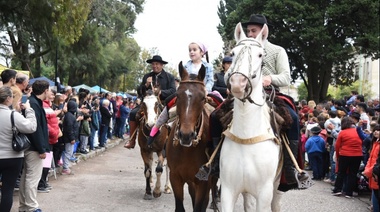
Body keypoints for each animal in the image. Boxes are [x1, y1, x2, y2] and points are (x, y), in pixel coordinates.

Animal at [166, 62, 214, 211]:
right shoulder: (175, 177)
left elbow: (199, 206)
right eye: (177, 95)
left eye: (203, 98)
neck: (187, 150)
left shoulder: (203, 182)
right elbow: (180, 207)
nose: (186, 135)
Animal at [220, 22, 282, 211]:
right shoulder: (227, 191)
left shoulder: (264, 194)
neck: (246, 138)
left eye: (260, 55)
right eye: (233, 53)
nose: (237, 83)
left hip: (277, 187)